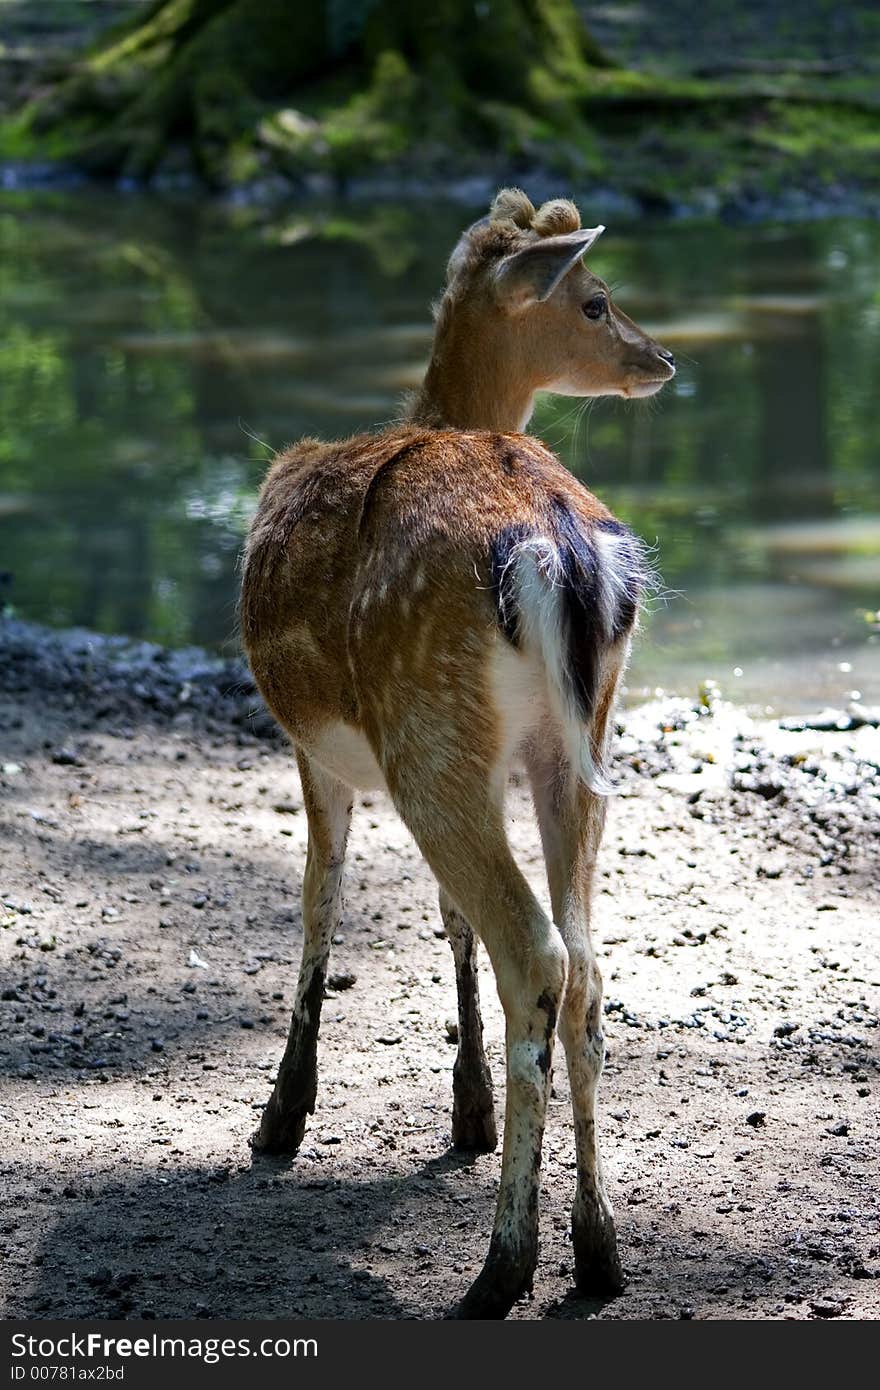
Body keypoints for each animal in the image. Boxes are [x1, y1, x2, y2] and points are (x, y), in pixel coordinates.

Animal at [240, 187, 672, 1312]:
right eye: (597, 301)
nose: (661, 359)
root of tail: (560, 546)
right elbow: (441, 919)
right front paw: (465, 1113)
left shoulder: (315, 748)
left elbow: (322, 897)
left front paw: (280, 1118)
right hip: (571, 746)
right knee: (585, 963)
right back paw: (599, 1251)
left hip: (425, 733)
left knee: (538, 949)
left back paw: (499, 1269)